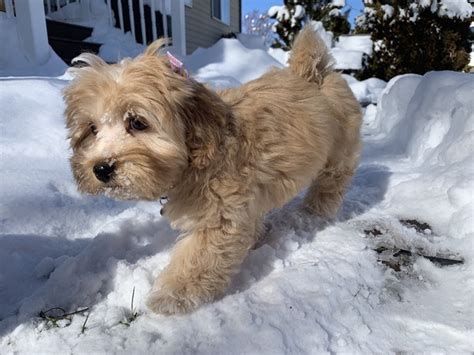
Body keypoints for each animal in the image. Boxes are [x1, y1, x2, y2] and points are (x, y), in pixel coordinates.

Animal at [62, 28, 360, 318]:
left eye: (137, 122)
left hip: (340, 151)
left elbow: (201, 254)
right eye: (92, 129)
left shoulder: (221, 212)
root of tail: (312, 74)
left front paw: (174, 295)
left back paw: (316, 211)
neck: (200, 152)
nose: (101, 168)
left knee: (331, 181)